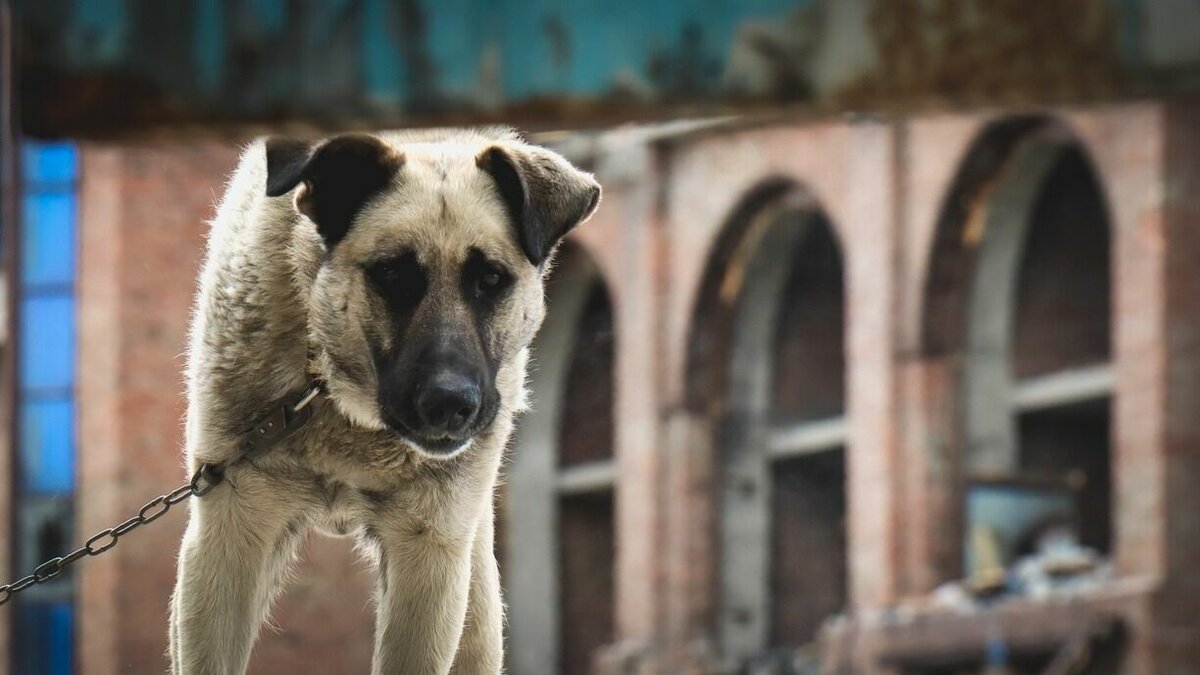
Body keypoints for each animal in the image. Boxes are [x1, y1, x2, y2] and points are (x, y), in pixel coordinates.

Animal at [169, 127, 600, 672]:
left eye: (491, 279)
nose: (449, 403)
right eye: (393, 274)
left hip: (474, 594)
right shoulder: (232, 528)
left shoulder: (430, 551)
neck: (337, 401)